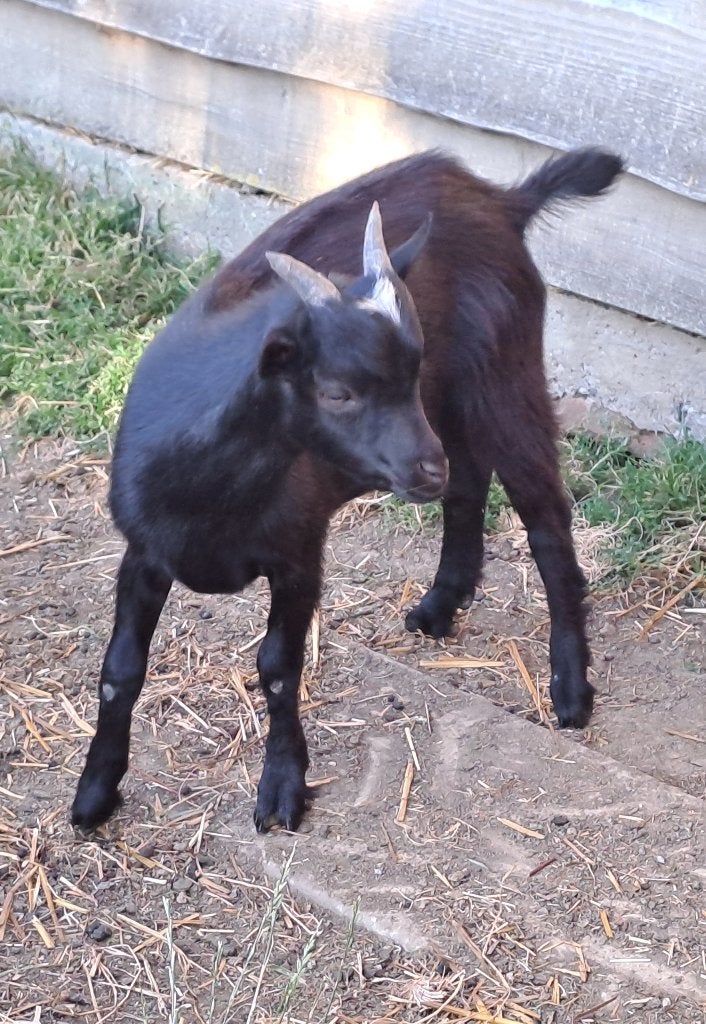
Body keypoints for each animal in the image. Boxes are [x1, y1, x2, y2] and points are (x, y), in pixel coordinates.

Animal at [72, 147, 623, 834]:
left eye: (405, 371)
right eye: (337, 392)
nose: (424, 470)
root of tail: (499, 199)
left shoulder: (299, 552)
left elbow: (278, 669)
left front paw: (282, 788)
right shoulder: (144, 553)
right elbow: (119, 670)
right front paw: (94, 793)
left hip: (500, 378)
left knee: (545, 515)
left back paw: (570, 688)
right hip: (453, 404)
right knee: (469, 484)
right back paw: (441, 604)